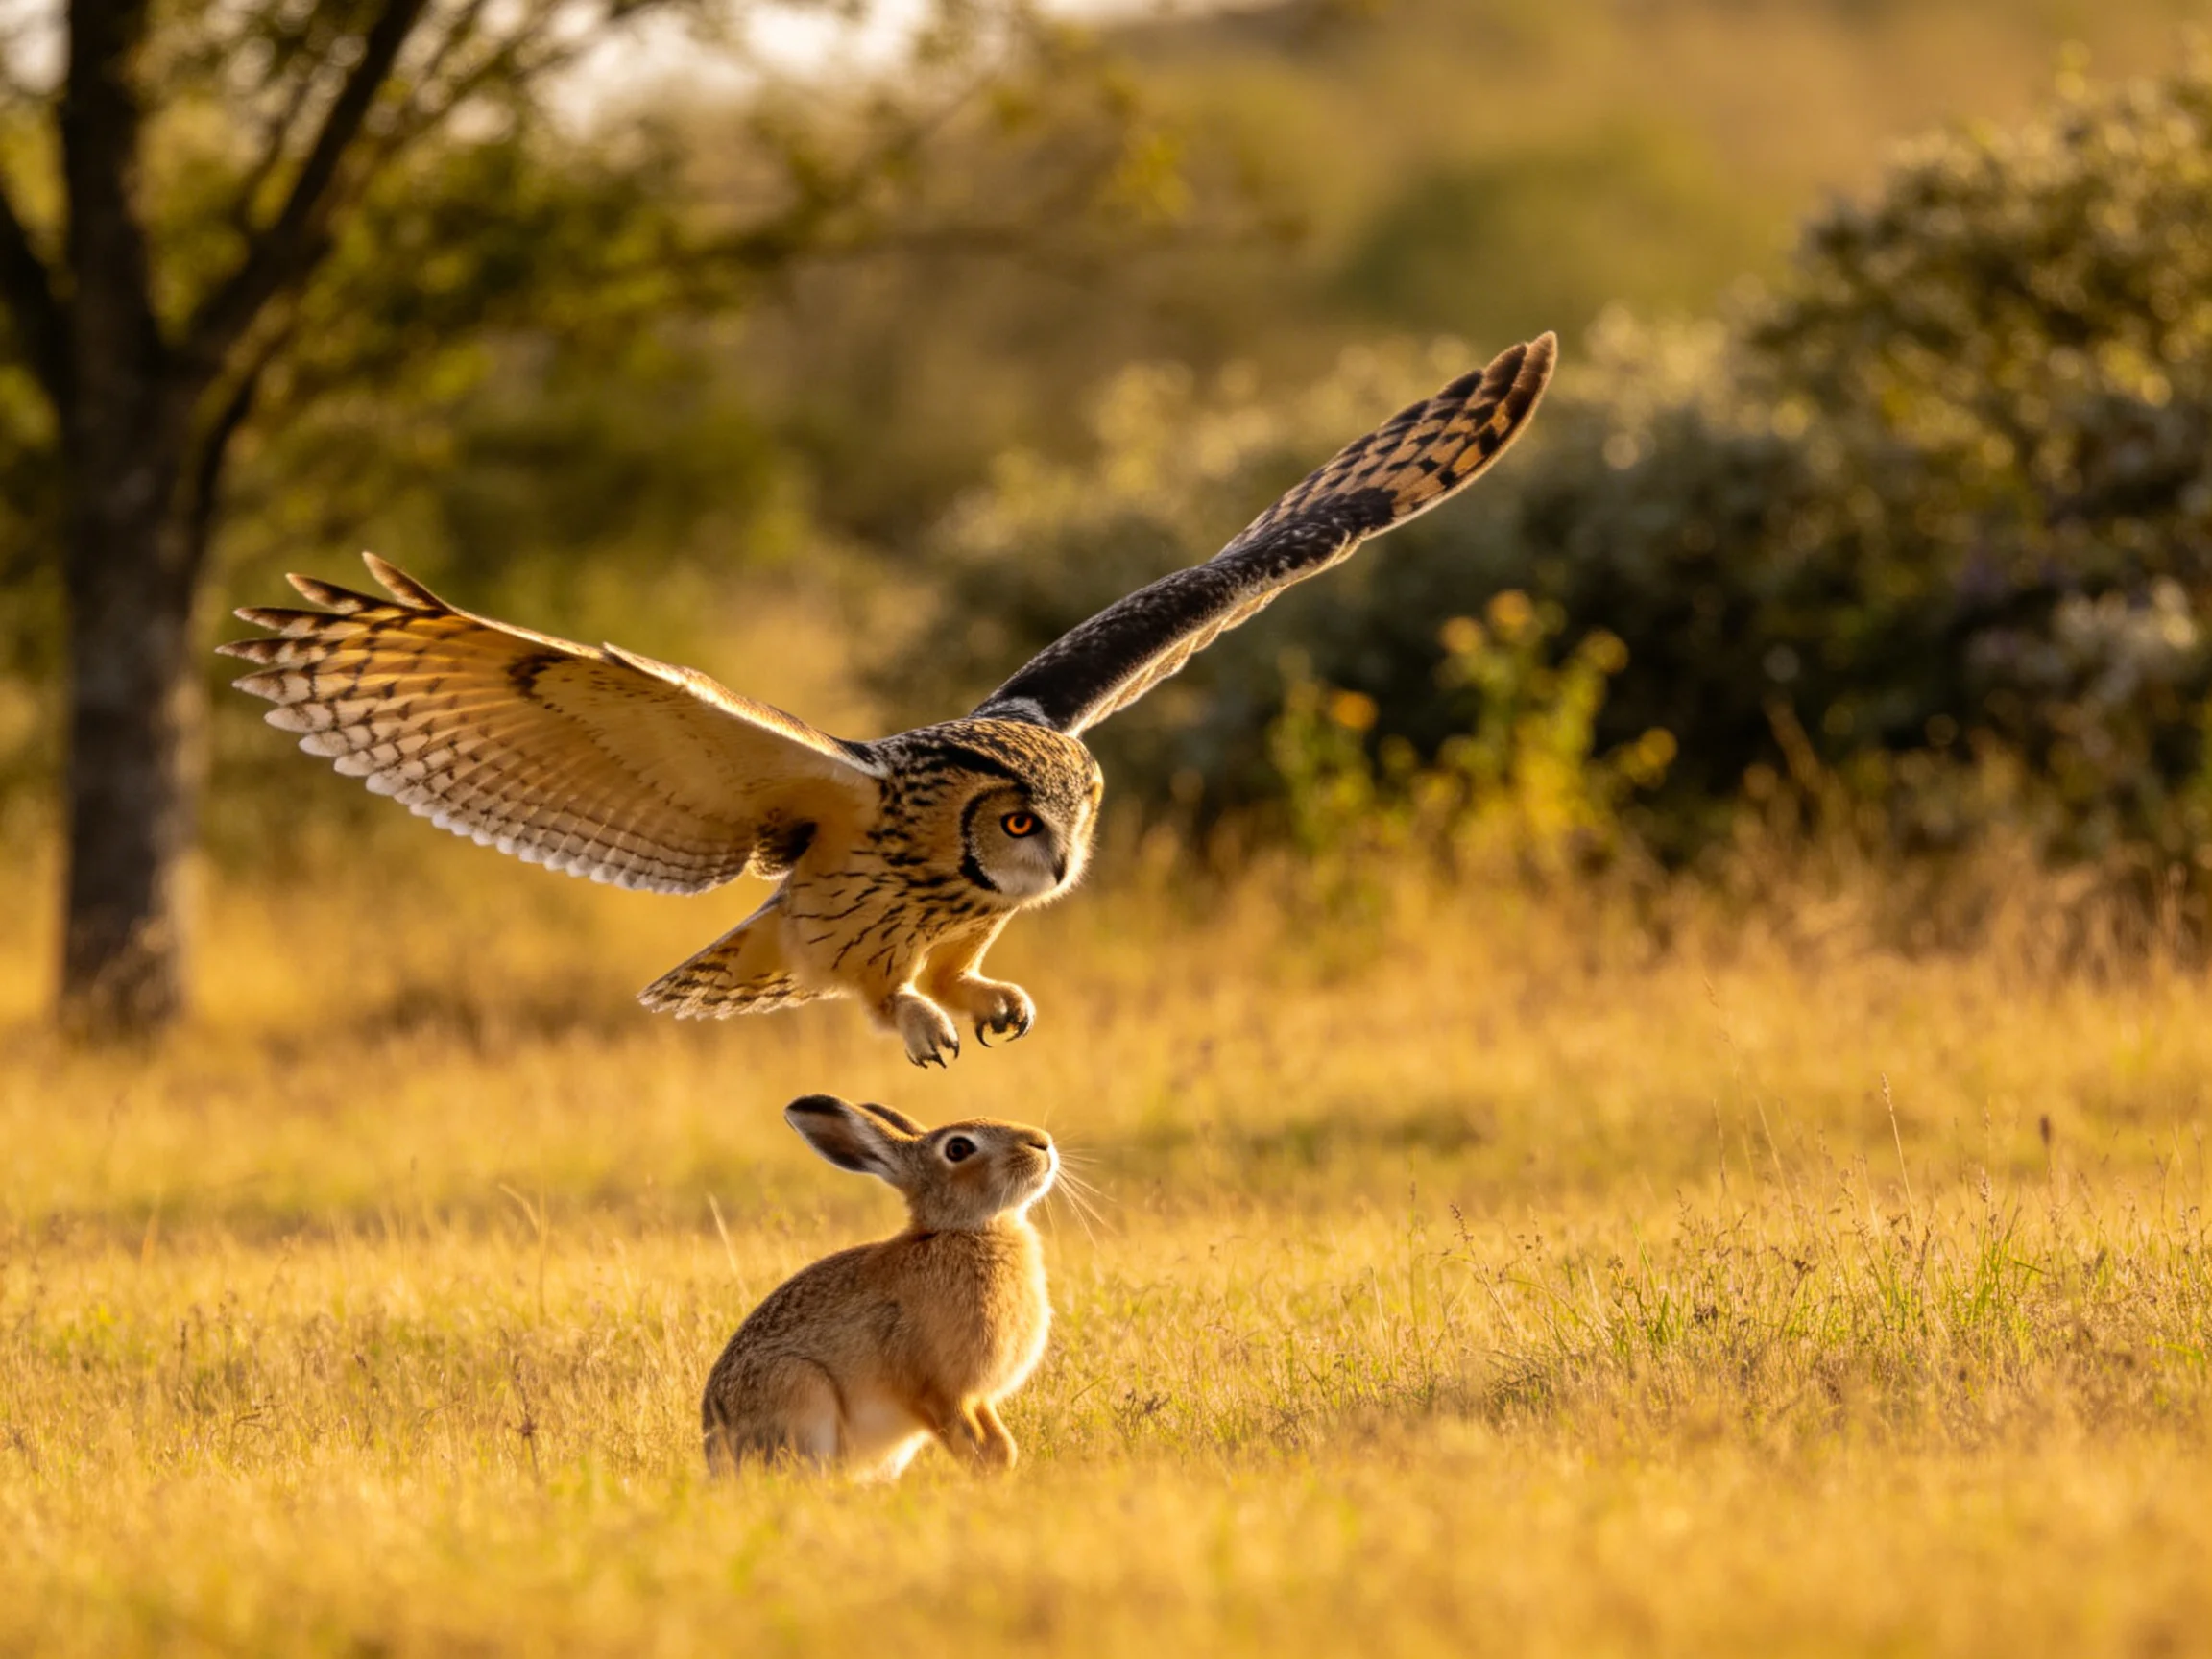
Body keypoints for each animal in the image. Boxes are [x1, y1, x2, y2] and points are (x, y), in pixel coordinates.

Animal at [702, 1094, 1058, 1479]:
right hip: (800, 1389)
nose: (1042, 1143)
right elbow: (973, 1443)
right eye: (958, 1148)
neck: (962, 1230)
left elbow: (1000, 1443)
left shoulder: (976, 1398)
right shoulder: (937, 1389)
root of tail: (714, 1453)